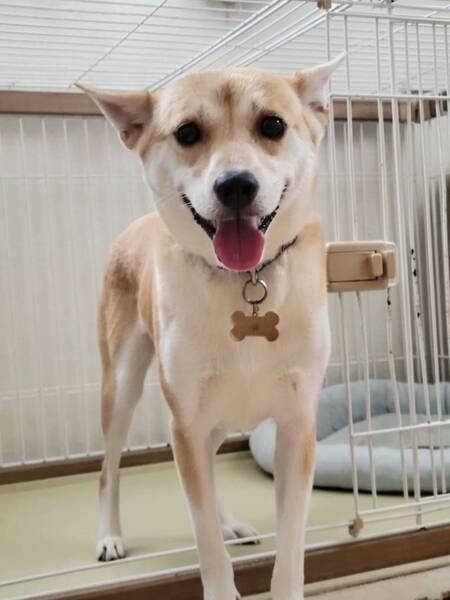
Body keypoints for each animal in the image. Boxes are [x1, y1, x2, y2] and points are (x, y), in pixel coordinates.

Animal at [78, 54, 343, 600]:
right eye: (187, 132)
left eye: (273, 125)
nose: (236, 185)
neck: (244, 278)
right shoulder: (188, 422)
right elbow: (206, 546)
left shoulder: (296, 424)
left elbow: (291, 546)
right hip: (124, 386)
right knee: (109, 468)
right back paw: (110, 536)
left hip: (216, 414)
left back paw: (231, 524)